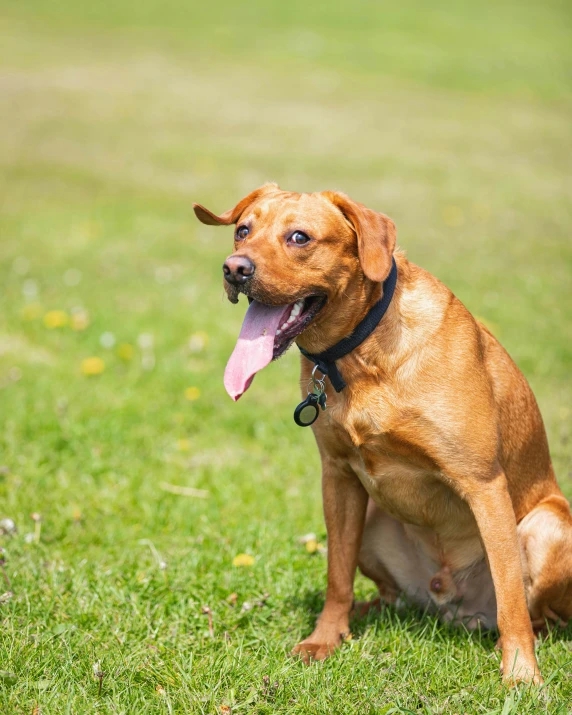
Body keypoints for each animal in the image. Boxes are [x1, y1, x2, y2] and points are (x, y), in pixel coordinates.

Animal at [193, 183, 572, 684]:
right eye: (242, 230)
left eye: (299, 237)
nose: (234, 269)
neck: (359, 355)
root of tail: (451, 606)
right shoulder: (338, 478)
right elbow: (337, 576)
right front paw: (325, 638)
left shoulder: (484, 485)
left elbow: (510, 596)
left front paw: (522, 674)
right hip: (374, 522)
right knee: (387, 595)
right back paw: (366, 613)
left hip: (548, 528)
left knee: (537, 614)